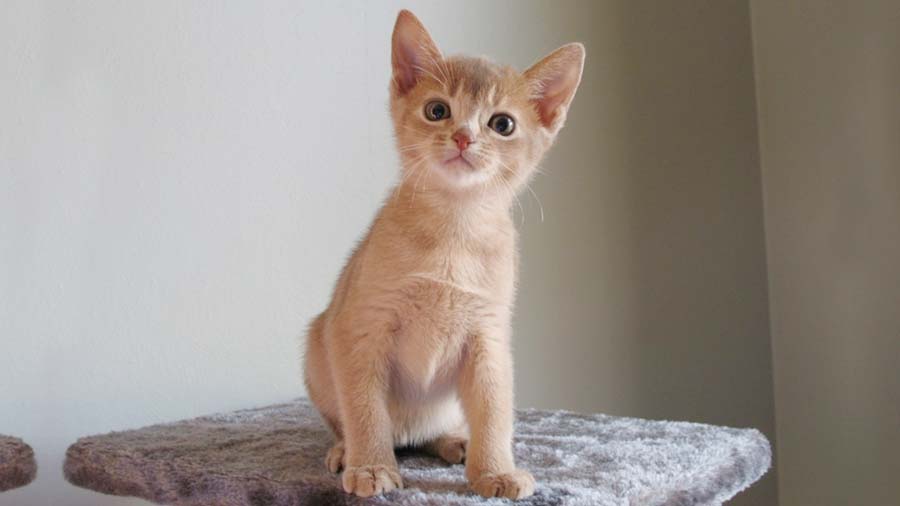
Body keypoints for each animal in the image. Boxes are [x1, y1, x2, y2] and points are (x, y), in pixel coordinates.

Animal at [302, 9, 584, 500]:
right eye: (438, 111)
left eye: (502, 124)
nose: (463, 138)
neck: (455, 229)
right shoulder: (358, 328)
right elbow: (364, 409)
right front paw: (371, 466)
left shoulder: (489, 339)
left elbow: (494, 414)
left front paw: (495, 471)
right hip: (316, 347)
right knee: (350, 422)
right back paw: (346, 451)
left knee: (437, 430)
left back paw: (454, 441)